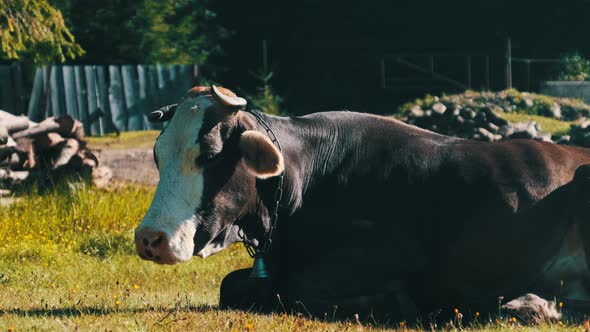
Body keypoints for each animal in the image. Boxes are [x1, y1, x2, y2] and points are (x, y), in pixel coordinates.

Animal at [134, 85, 590, 322]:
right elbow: (231, 286)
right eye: (157, 155)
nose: (150, 238)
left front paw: (394, 302)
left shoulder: (400, 252)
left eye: (210, 155)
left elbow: (298, 287)